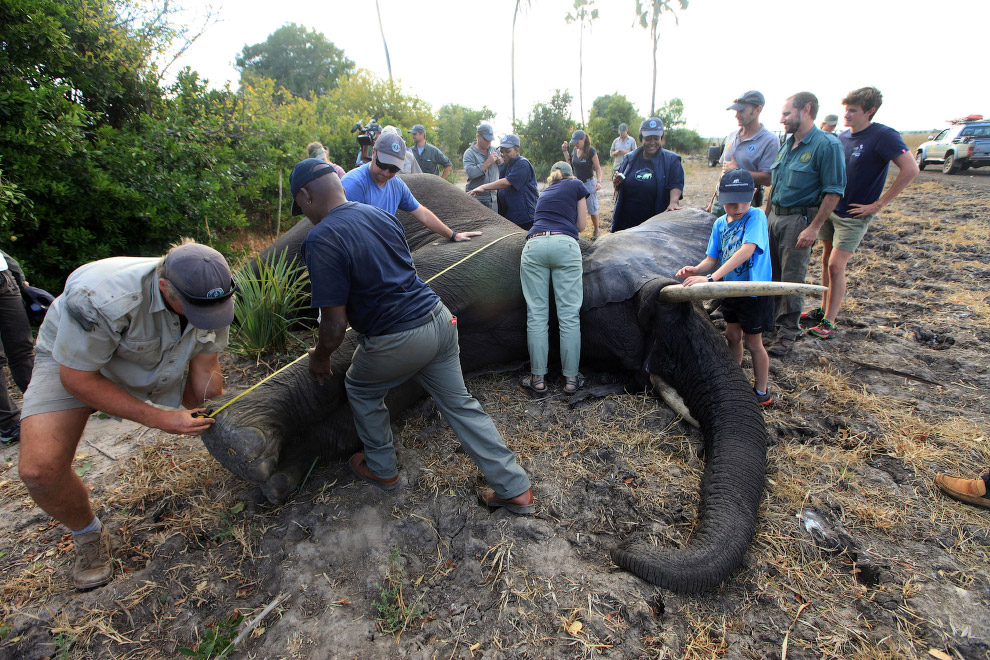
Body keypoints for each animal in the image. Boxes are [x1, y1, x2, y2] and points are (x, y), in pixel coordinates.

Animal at [203, 174, 776, 592]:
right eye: (652, 308)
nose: (624, 548)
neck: (579, 248)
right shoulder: (479, 267)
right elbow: (358, 338)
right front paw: (239, 446)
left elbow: (387, 395)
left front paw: (279, 478)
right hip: (304, 234)